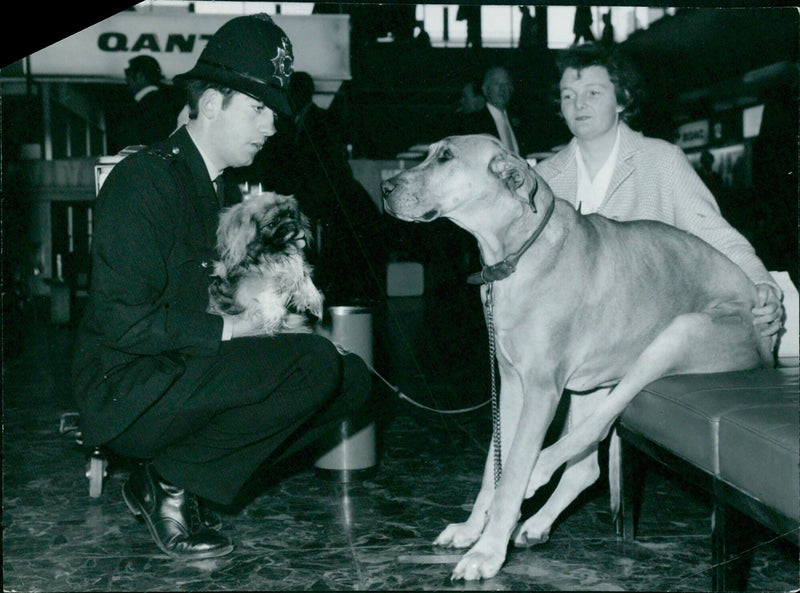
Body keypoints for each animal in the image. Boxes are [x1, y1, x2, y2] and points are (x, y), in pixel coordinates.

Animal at [206, 193, 324, 336]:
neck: (274, 253)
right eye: (273, 223)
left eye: (291, 215)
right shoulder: (249, 282)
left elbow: (304, 276)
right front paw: (274, 312)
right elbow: (263, 289)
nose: (290, 224)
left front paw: (312, 297)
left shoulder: (294, 266)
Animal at [382, 133, 776, 580]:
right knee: (586, 464)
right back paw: (535, 522)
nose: (384, 188)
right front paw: (471, 529)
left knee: (594, 429)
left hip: (677, 335)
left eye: (445, 157)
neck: (518, 251)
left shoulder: (540, 390)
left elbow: (511, 469)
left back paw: (537, 476)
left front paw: (488, 550)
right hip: (595, 381)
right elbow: (490, 467)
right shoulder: (511, 384)